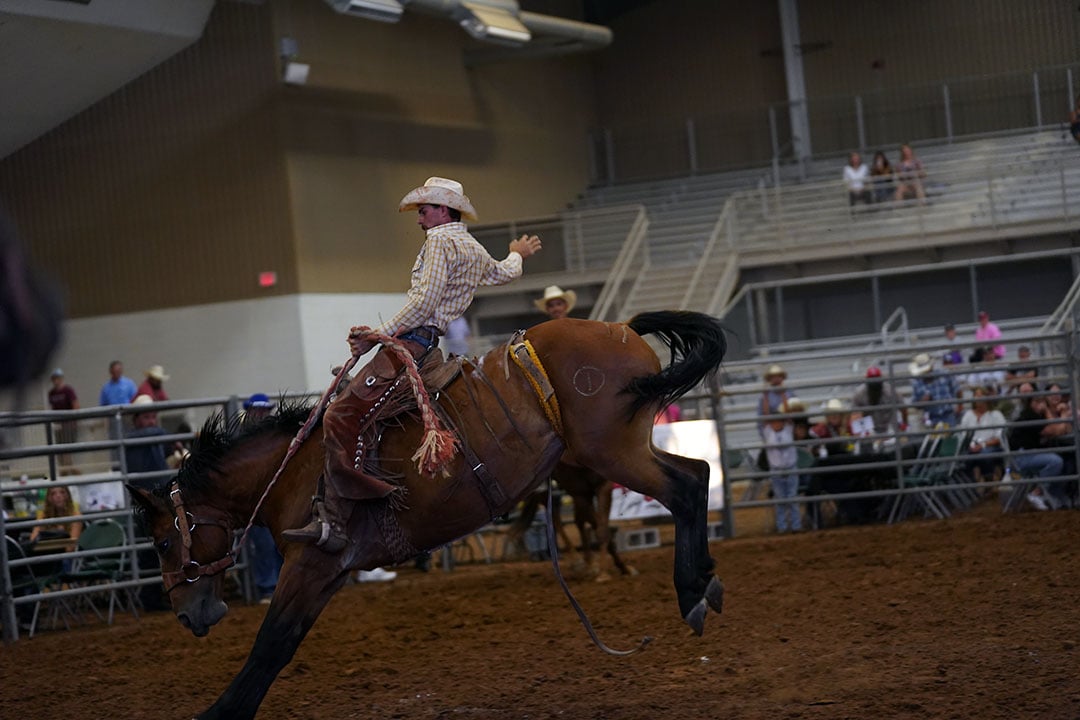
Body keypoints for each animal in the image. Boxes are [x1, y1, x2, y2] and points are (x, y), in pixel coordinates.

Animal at [128, 310, 727, 720]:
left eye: (162, 542)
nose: (187, 615)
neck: (294, 468)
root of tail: (621, 327)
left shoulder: (310, 561)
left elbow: (270, 642)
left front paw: (218, 713)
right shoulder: (330, 569)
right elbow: (284, 643)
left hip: (614, 452)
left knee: (687, 487)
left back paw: (692, 593)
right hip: (624, 451)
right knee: (697, 473)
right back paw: (702, 586)